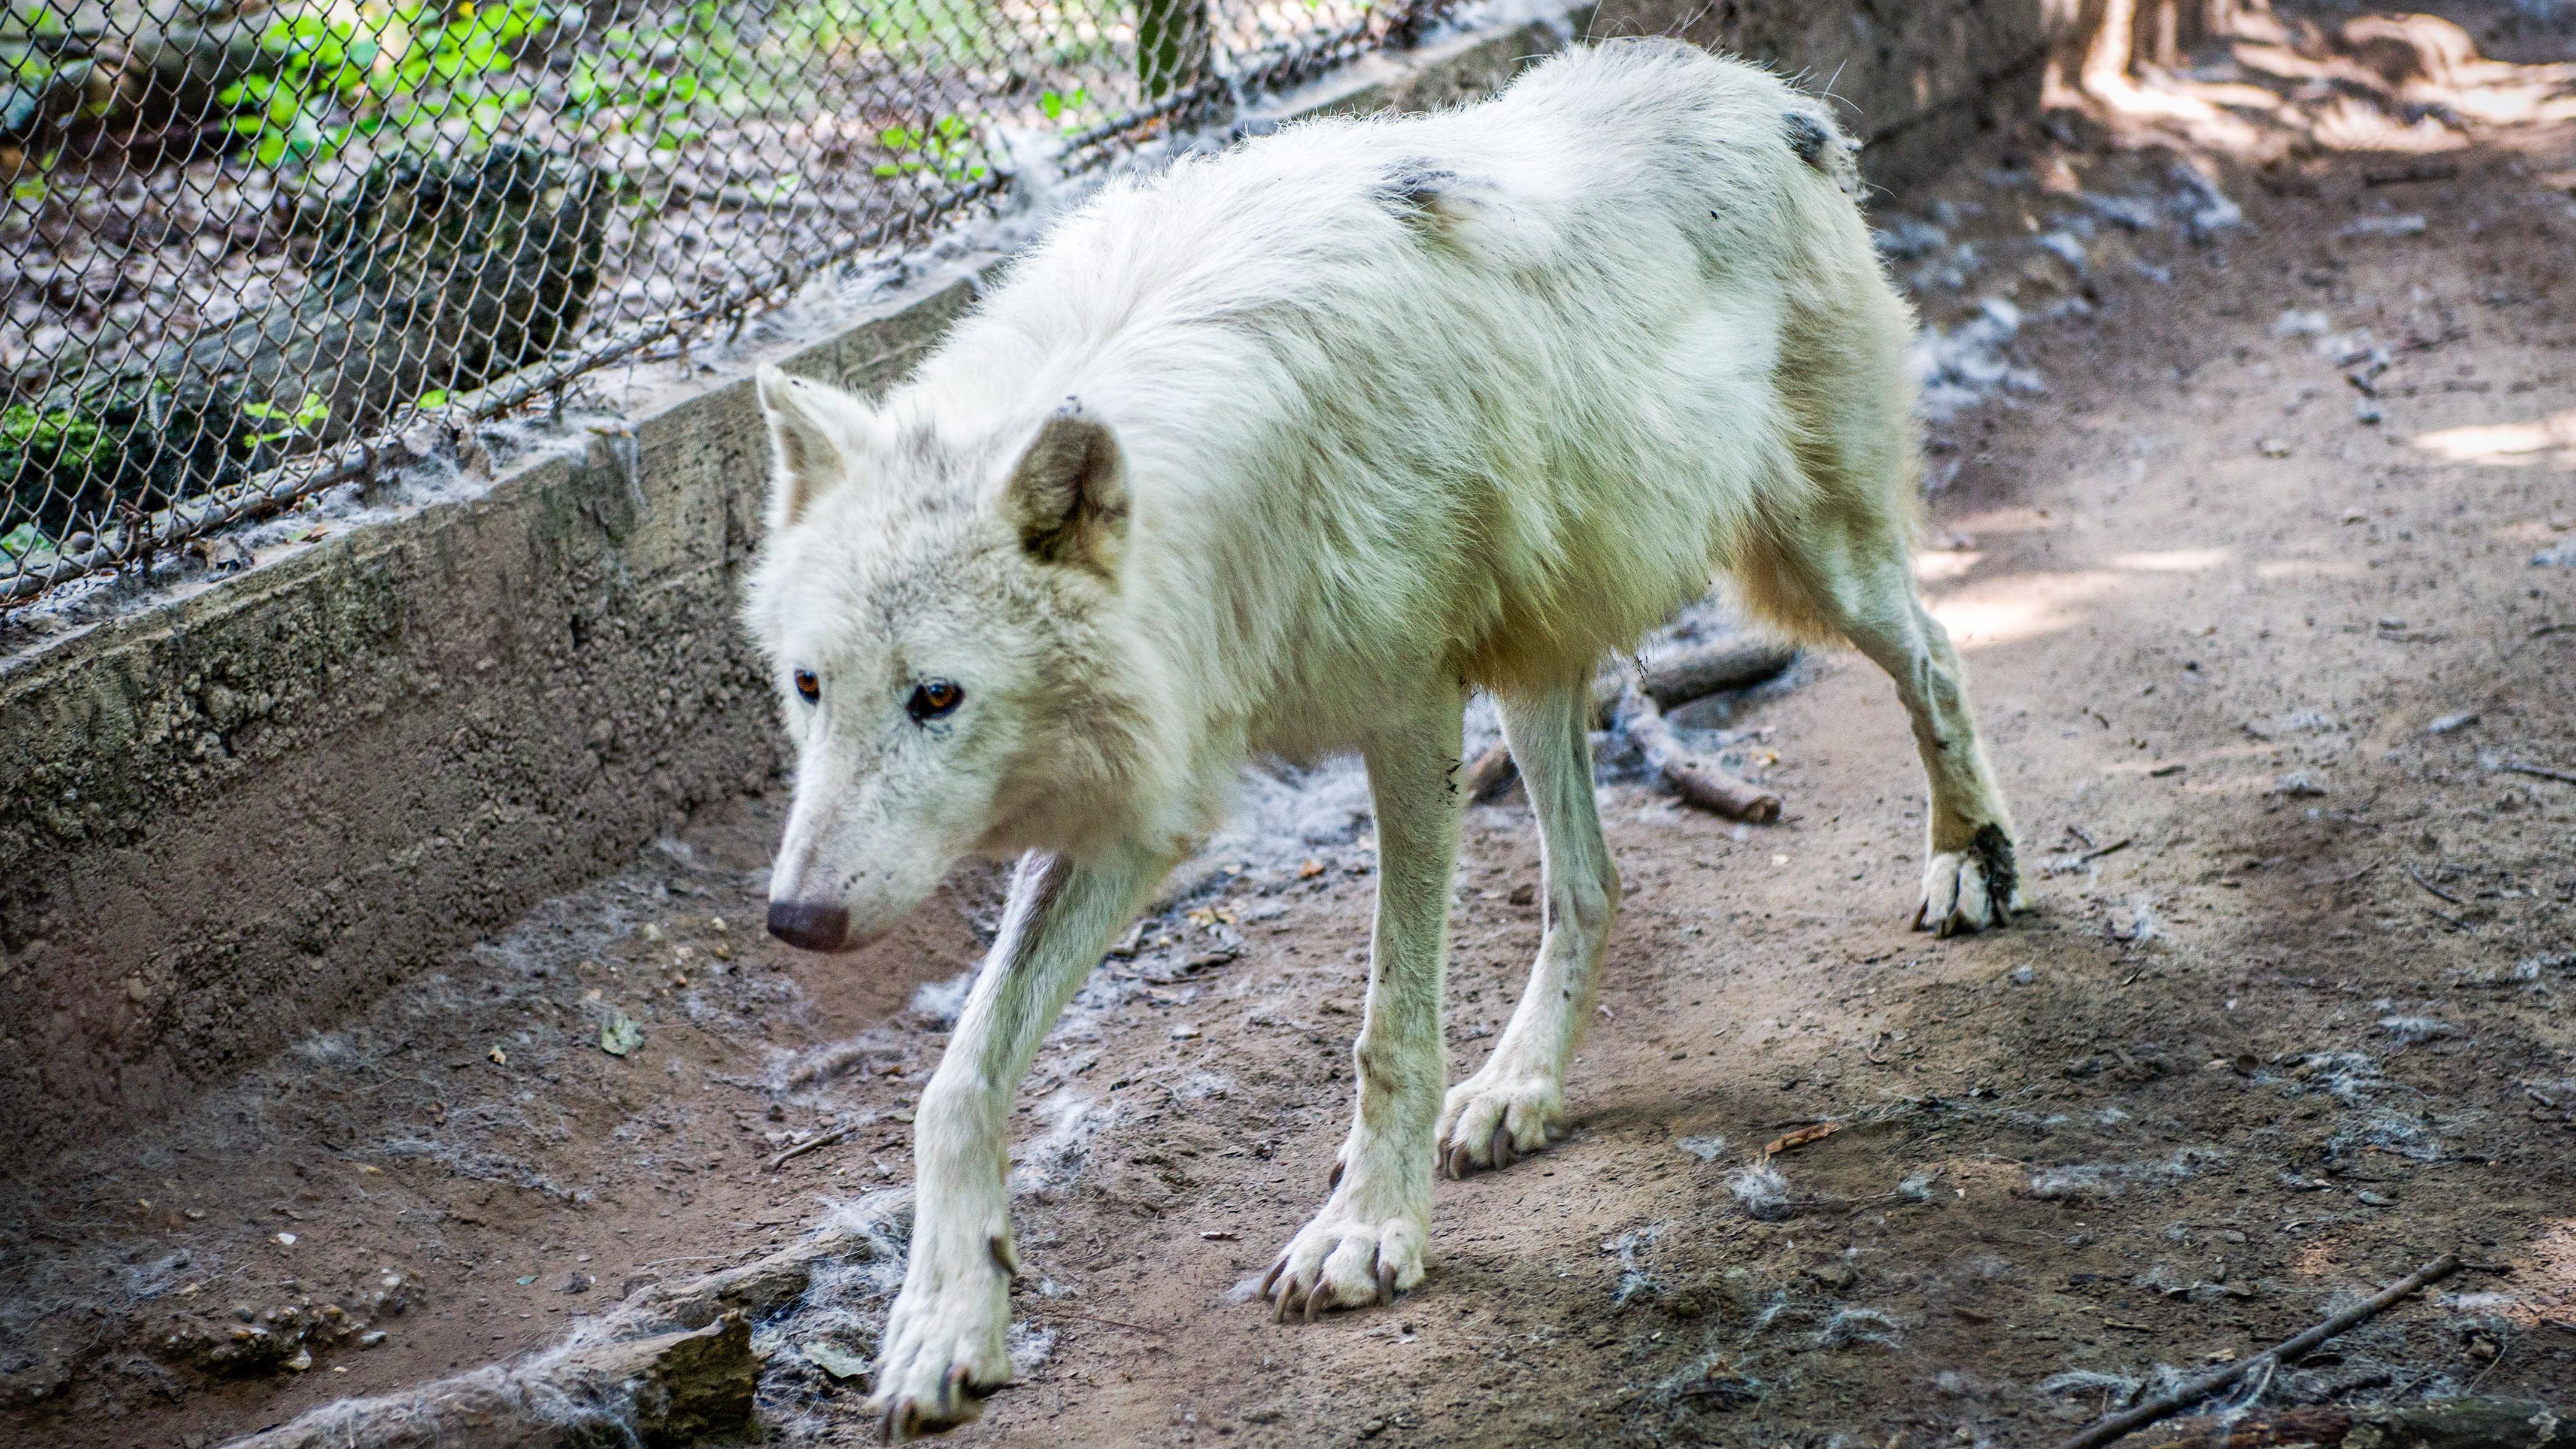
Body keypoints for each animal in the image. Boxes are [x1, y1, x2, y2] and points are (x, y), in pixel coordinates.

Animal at [736, 37, 2019, 1433]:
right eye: (809, 687)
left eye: (937, 697)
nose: (795, 920)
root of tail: (1762, 95)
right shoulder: (1151, 787)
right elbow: (956, 1081)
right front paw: (944, 1322)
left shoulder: (1405, 714)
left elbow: (1387, 1026)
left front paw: (1364, 1231)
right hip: (1534, 665)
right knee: (1590, 882)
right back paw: (1519, 1091)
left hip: (1809, 569)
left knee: (1937, 654)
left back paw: (1970, 860)